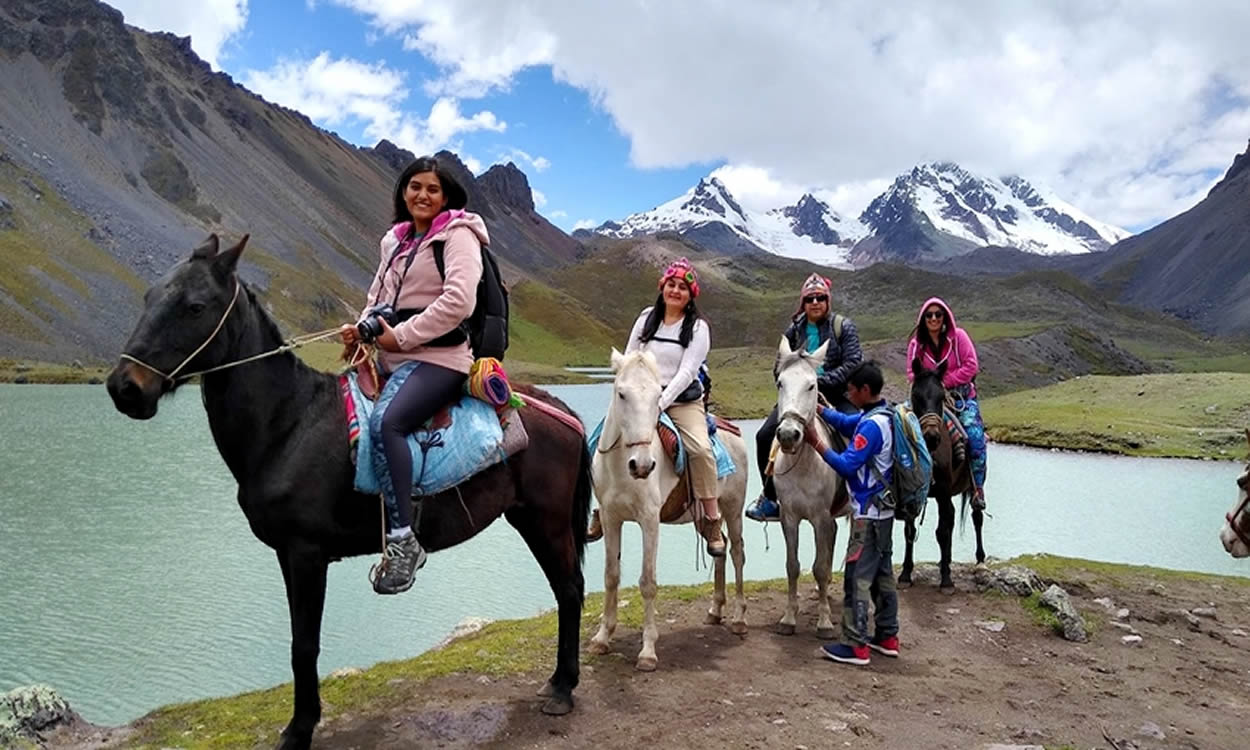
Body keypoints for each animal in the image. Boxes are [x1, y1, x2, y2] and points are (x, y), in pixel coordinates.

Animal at [106, 236, 590, 750]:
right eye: (149, 297)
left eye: (195, 306)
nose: (124, 388)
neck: (289, 423)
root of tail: (561, 410)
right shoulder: (286, 555)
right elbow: (300, 640)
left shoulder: (306, 553)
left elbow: (304, 645)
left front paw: (299, 730)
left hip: (545, 520)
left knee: (570, 589)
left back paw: (562, 688)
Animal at [587, 347, 745, 670]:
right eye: (621, 394)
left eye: (657, 396)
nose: (642, 465)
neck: (622, 469)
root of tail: (735, 432)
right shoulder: (611, 518)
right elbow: (611, 575)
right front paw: (602, 638)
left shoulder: (649, 521)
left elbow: (648, 582)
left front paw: (648, 651)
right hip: (706, 515)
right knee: (719, 546)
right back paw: (715, 611)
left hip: (734, 509)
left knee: (736, 552)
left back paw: (737, 618)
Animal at [770, 340, 850, 637]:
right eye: (780, 382)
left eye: (812, 385)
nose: (788, 435)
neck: (803, 464)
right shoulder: (789, 517)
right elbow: (793, 566)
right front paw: (788, 619)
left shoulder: (820, 518)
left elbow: (820, 567)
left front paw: (824, 622)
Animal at [900, 357, 985, 592]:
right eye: (916, 396)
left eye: (940, 397)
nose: (931, 436)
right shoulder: (912, 492)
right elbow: (909, 531)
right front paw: (905, 574)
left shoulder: (943, 492)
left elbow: (942, 532)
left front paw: (946, 579)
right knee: (954, 517)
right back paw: (943, 560)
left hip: (973, 486)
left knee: (976, 516)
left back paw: (980, 560)